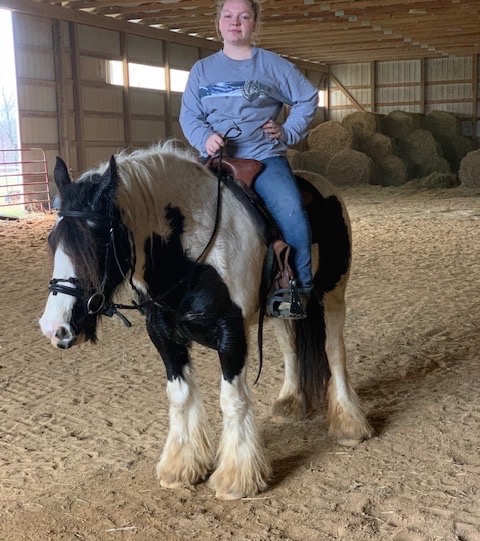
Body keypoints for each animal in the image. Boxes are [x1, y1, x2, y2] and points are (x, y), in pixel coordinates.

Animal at [39, 142, 374, 498]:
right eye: (53, 240)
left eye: (96, 241)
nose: (53, 327)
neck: (191, 254)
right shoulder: (162, 334)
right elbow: (180, 396)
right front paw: (181, 467)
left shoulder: (231, 334)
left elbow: (232, 400)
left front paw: (236, 477)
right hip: (281, 310)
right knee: (291, 350)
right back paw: (290, 403)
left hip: (333, 293)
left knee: (334, 351)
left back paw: (350, 424)